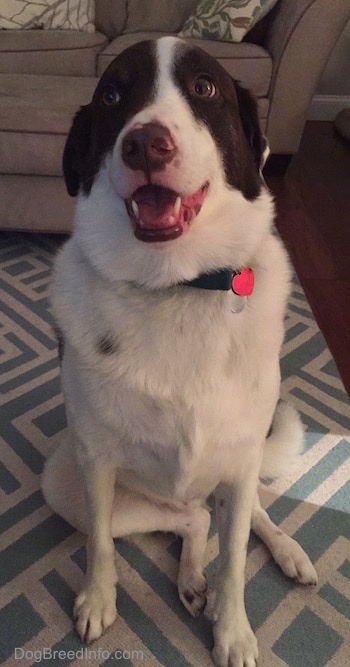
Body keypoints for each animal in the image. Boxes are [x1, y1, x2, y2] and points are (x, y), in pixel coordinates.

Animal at [42, 36, 318, 667]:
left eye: (204, 88)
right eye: (112, 95)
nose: (145, 142)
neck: (177, 286)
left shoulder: (240, 456)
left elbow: (236, 561)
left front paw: (233, 630)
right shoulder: (95, 460)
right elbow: (99, 545)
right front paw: (98, 600)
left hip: (236, 466)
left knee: (247, 513)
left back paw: (286, 551)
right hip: (66, 481)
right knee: (190, 519)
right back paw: (192, 579)